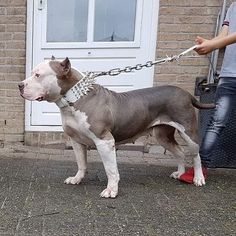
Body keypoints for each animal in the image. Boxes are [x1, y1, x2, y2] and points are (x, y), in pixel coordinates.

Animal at [18, 58, 214, 198]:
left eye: (38, 75)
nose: (19, 85)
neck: (74, 99)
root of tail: (186, 93)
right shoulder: (76, 141)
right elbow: (81, 164)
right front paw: (77, 179)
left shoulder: (105, 141)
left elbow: (111, 169)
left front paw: (112, 190)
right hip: (162, 136)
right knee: (179, 152)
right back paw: (180, 173)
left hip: (189, 132)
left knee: (195, 155)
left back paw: (198, 178)